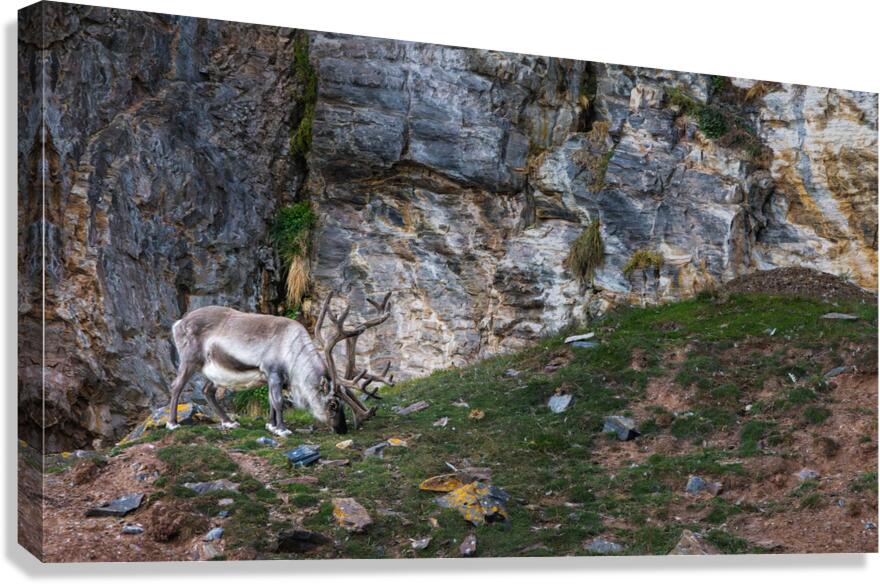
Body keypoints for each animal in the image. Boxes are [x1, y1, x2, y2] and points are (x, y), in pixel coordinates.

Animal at [164, 291, 394, 436]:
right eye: (333, 404)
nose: (342, 429)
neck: (293, 352)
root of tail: (177, 323)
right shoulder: (273, 372)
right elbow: (278, 402)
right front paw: (282, 429)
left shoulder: (271, 378)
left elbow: (270, 401)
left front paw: (271, 425)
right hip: (190, 360)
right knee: (176, 386)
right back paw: (173, 423)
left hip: (217, 373)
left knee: (206, 390)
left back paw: (229, 421)